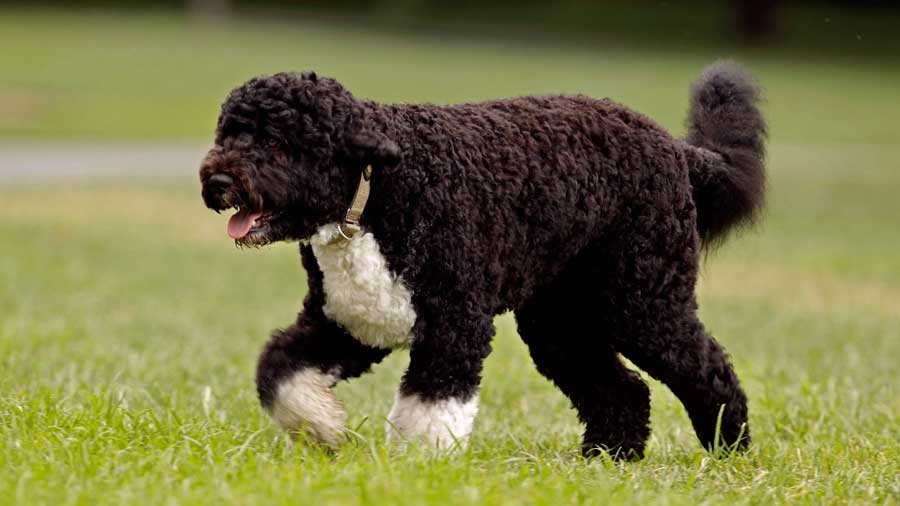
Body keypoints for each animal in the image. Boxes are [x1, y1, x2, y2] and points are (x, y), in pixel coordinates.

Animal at [199, 59, 768, 458]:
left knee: (708, 368)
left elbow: (430, 409)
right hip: (561, 322)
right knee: (622, 390)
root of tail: (677, 149)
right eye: (228, 132)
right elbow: (280, 372)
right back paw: (606, 460)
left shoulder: (455, 324)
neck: (376, 194)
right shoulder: (347, 322)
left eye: (276, 141)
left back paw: (729, 447)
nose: (217, 180)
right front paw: (323, 427)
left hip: (643, 302)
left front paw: (416, 471)